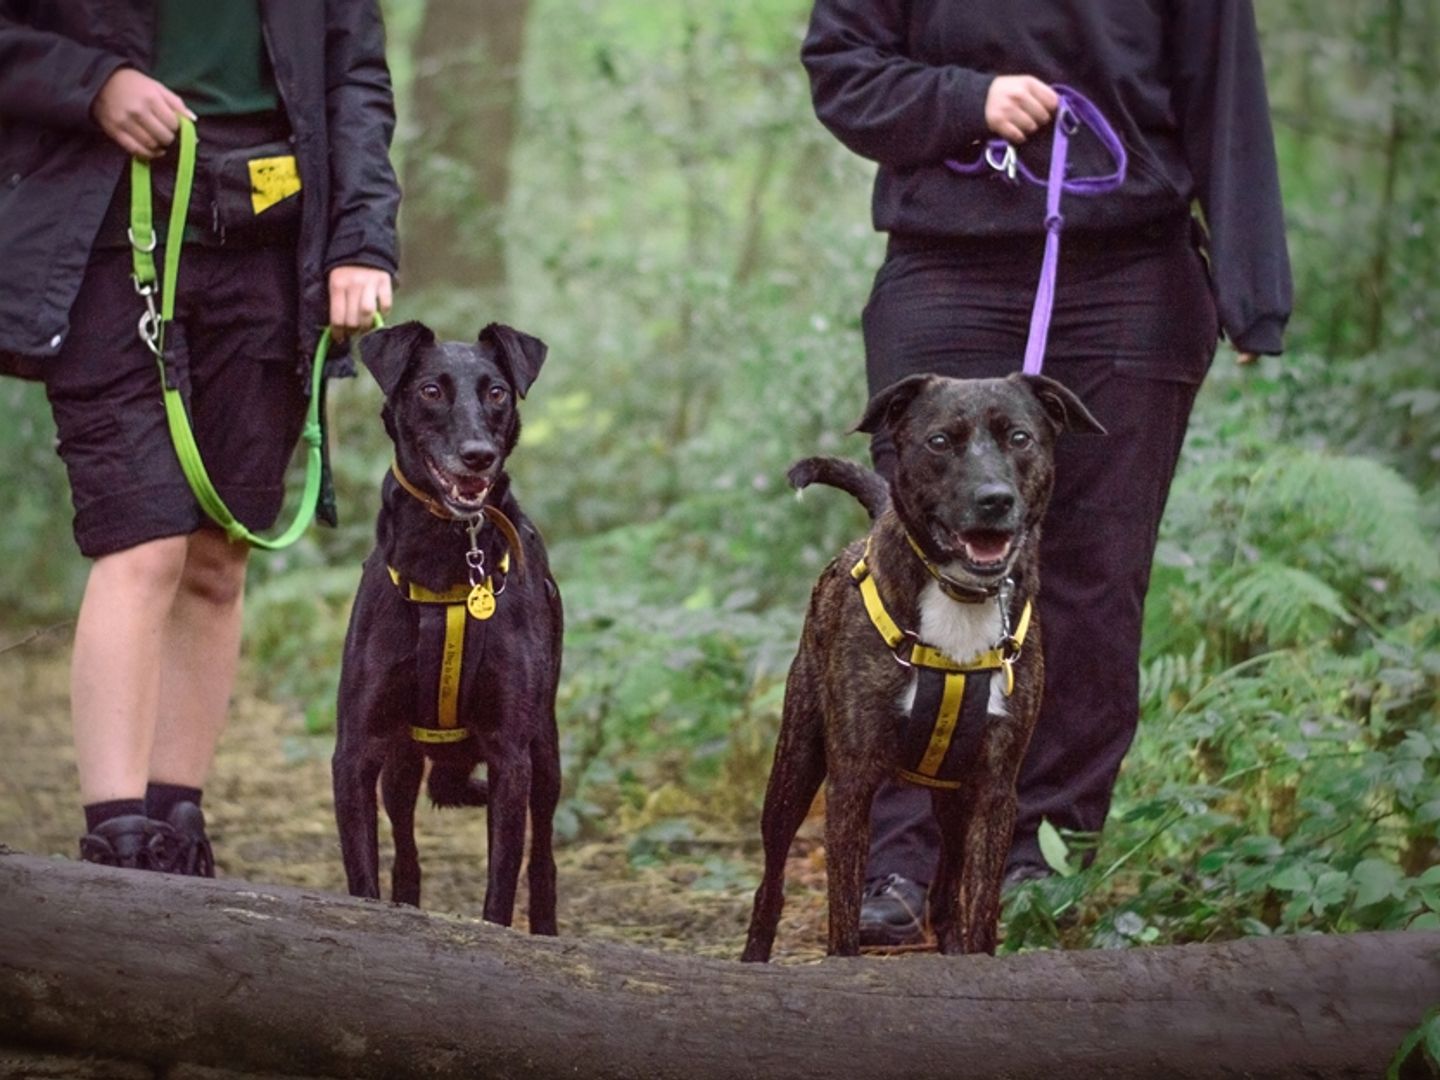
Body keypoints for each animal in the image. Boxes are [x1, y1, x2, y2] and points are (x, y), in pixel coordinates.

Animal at [334, 316, 564, 933]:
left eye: (498, 393)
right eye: (431, 391)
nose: (478, 456)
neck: (446, 560)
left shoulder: (511, 754)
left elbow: (501, 885)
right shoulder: (357, 751)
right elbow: (364, 875)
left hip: (546, 752)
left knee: (543, 855)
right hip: (402, 765)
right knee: (407, 850)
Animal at [743, 374, 1100, 961]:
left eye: (1020, 437)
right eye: (938, 442)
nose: (994, 499)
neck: (962, 596)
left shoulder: (995, 790)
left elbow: (980, 906)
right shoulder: (851, 782)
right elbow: (843, 911)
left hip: (953, 799)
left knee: (946, 888)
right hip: (795, 762)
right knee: (770, 881)